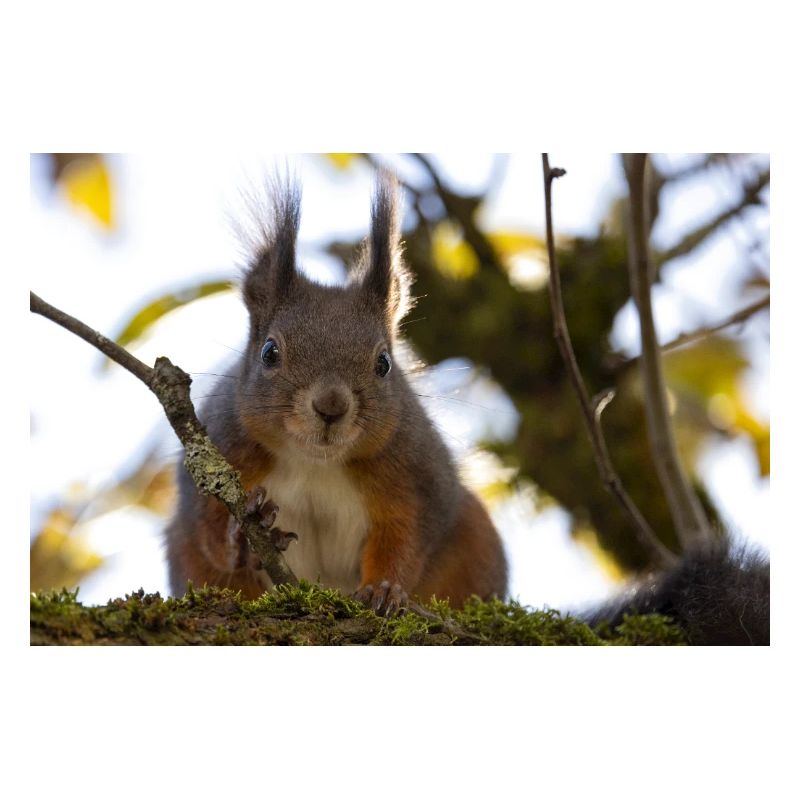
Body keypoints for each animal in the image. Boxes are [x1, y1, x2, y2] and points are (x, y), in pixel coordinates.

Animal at [165, 172, 508, 614]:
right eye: (269, 352)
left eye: (384, 363)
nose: (331, 406)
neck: (315, 461)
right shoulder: (219, 451)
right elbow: (208, 529)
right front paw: (240, 539)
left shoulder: (418, 478)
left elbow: (407, 538)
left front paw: (384, 588)